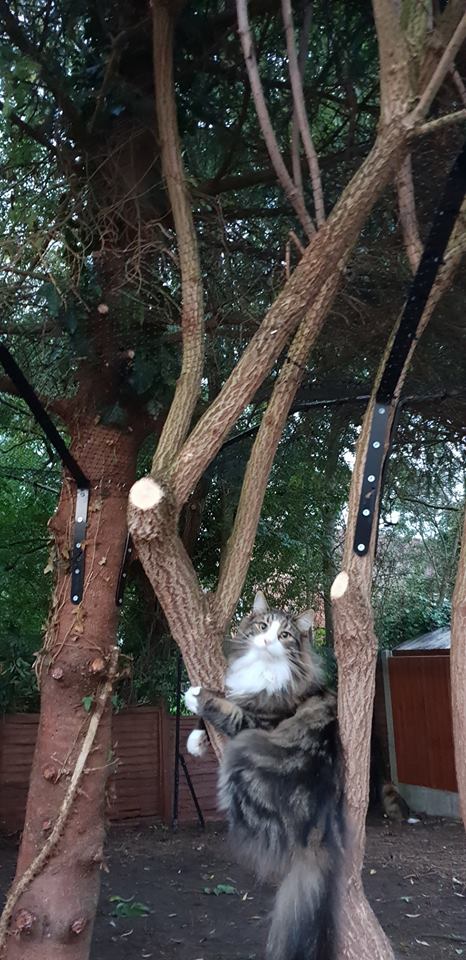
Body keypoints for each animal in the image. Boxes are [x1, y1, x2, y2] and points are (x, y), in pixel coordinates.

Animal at [184, 590, 345, 960]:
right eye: (262, 627)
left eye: (284, 635)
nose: (269, 640)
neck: (264, 669)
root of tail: (317, 829)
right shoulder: (244, 695)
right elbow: (226, 701)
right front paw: (196, 740)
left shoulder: (256, 722)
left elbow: (225, 709)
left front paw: (195, 695)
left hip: (242, 757)